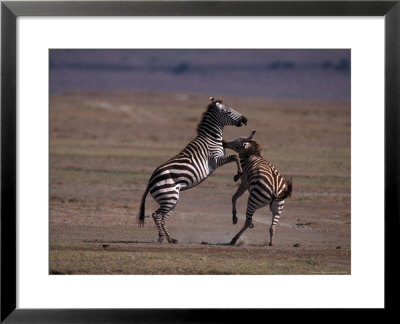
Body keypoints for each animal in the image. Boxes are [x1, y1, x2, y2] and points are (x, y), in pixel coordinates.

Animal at [139, 97, 248, 244]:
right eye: (228, 111)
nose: (245, 119)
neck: (211, 138)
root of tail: (150, 181)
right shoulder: (215, 160)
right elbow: (235, 156)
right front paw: (238, 174)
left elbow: (231, 150)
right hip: (169, 196)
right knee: (156, 215)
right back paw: (162, 237)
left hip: (171, 199)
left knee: (163, 217)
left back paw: (170, 239)